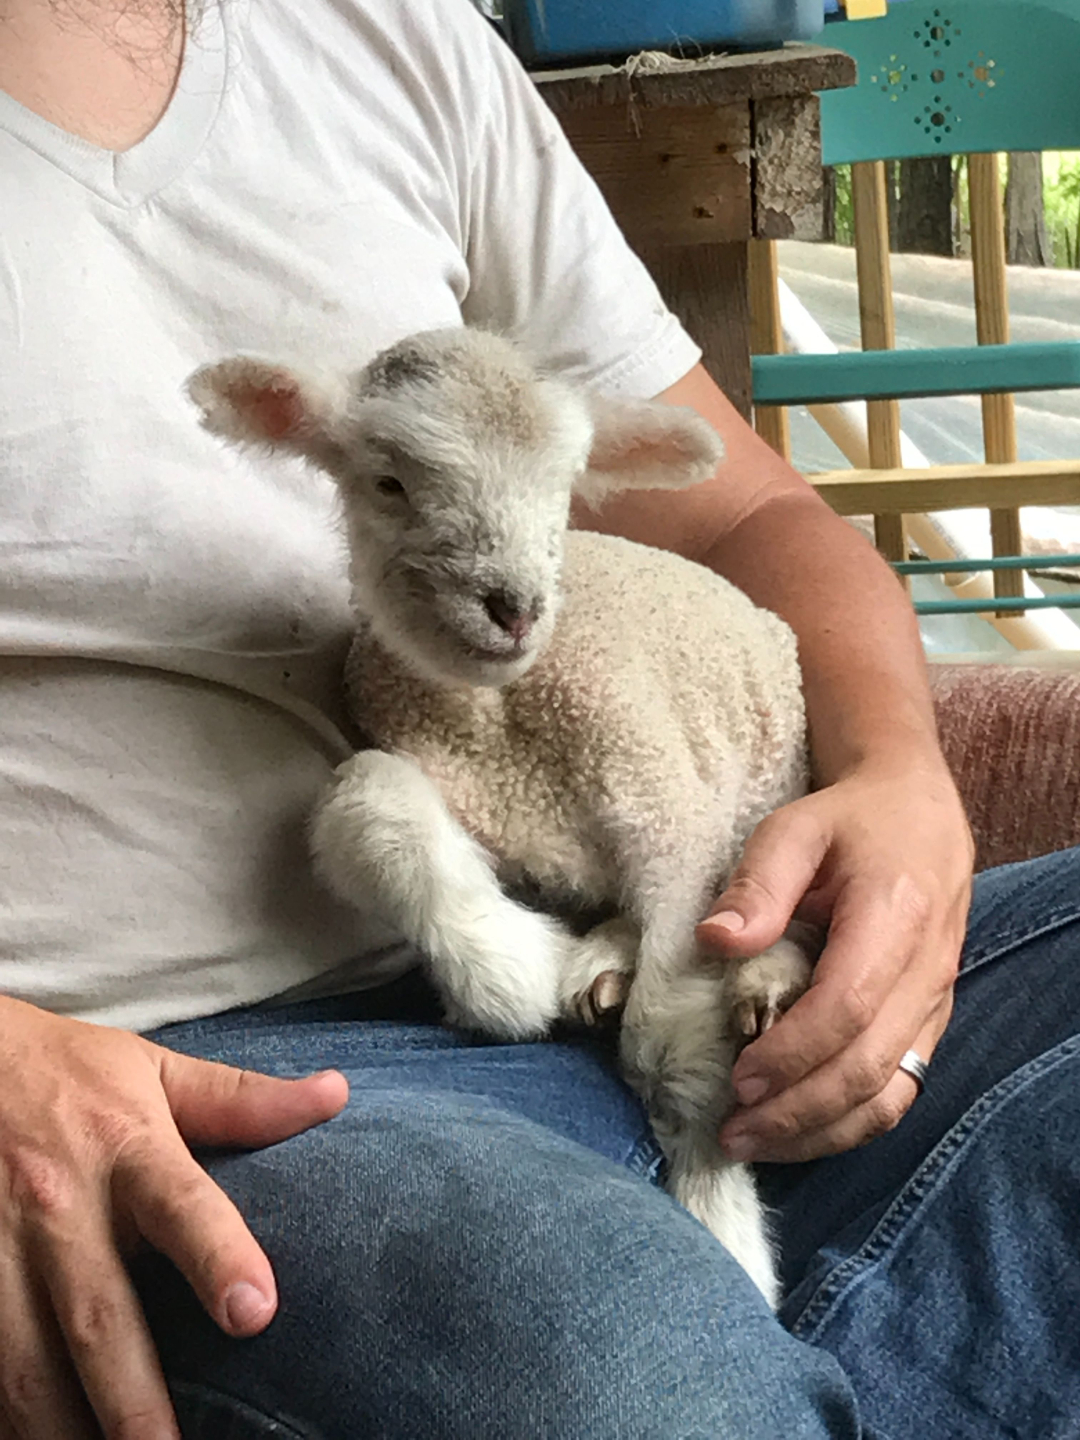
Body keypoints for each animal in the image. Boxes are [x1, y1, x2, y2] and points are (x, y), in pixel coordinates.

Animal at [187, 327, 816, 1308]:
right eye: (389, 482)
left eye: (565, 484)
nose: (513, 607)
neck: (506, 732)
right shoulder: (443, 771)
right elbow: (365, 803)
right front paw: (511, 972)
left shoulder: (669, 813)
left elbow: (670, 1043)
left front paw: (727, 1234)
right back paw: (601, 959)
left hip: (761, 789)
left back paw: (763, 979)